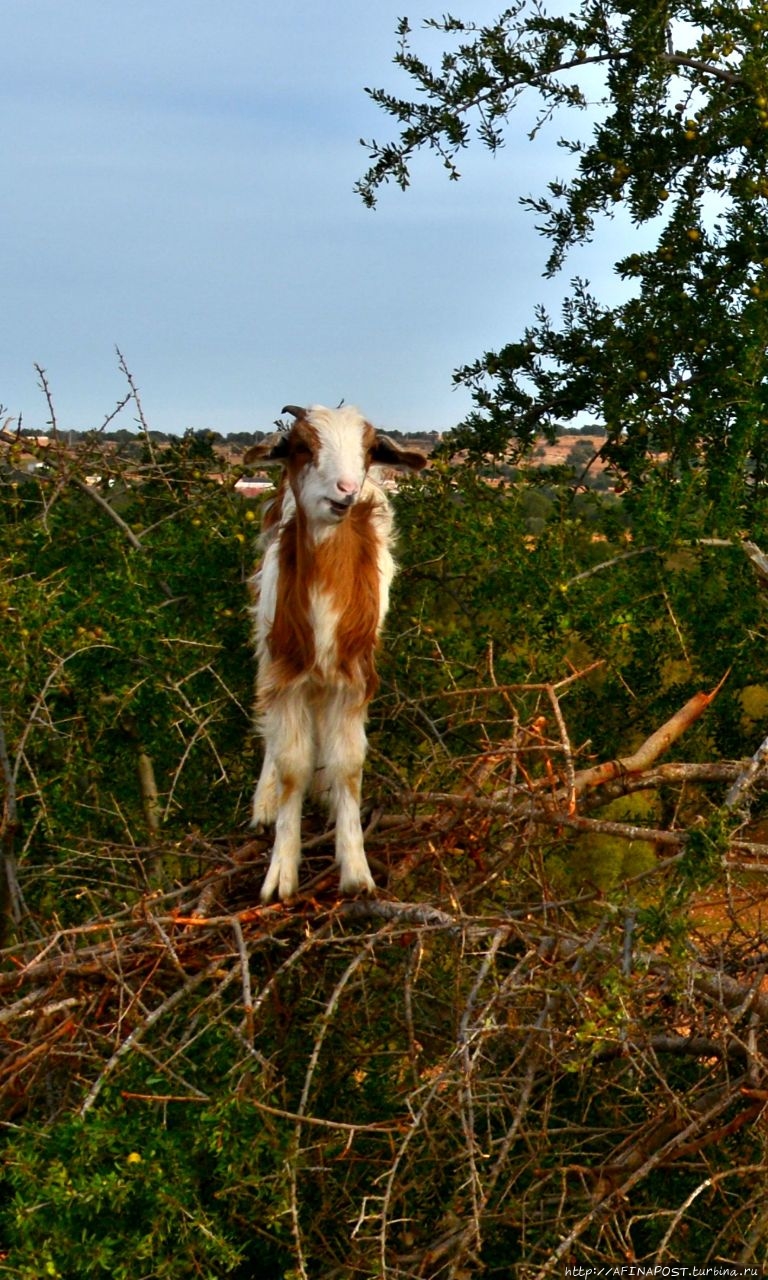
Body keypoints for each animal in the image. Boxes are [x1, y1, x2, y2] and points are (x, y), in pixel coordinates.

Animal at [245, 399, 424, 901]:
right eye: (302, 447)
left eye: (368, 451)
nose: (347, 490)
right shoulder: (286, 668)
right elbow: (291, 765)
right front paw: (280, 875)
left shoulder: (355, 674)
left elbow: (347, 765)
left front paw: (357, 871)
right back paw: (264, 802)